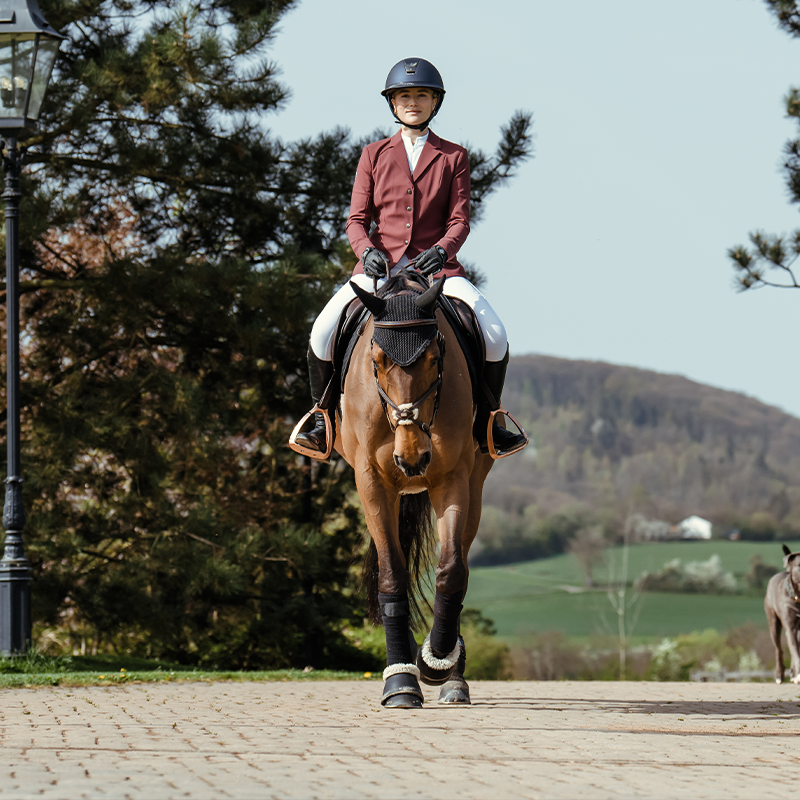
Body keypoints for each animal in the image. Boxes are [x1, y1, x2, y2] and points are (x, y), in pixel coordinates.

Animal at [332, 274, 494, 708]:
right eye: (376, 361)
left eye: (435, 359)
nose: (412, 458)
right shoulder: (371, 481)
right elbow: (392, 574)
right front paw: (401, 680)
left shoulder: (453, 478)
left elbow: (452, 571)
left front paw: (434, 660)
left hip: (474, 482)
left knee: (460, 561)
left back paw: (451, 676)